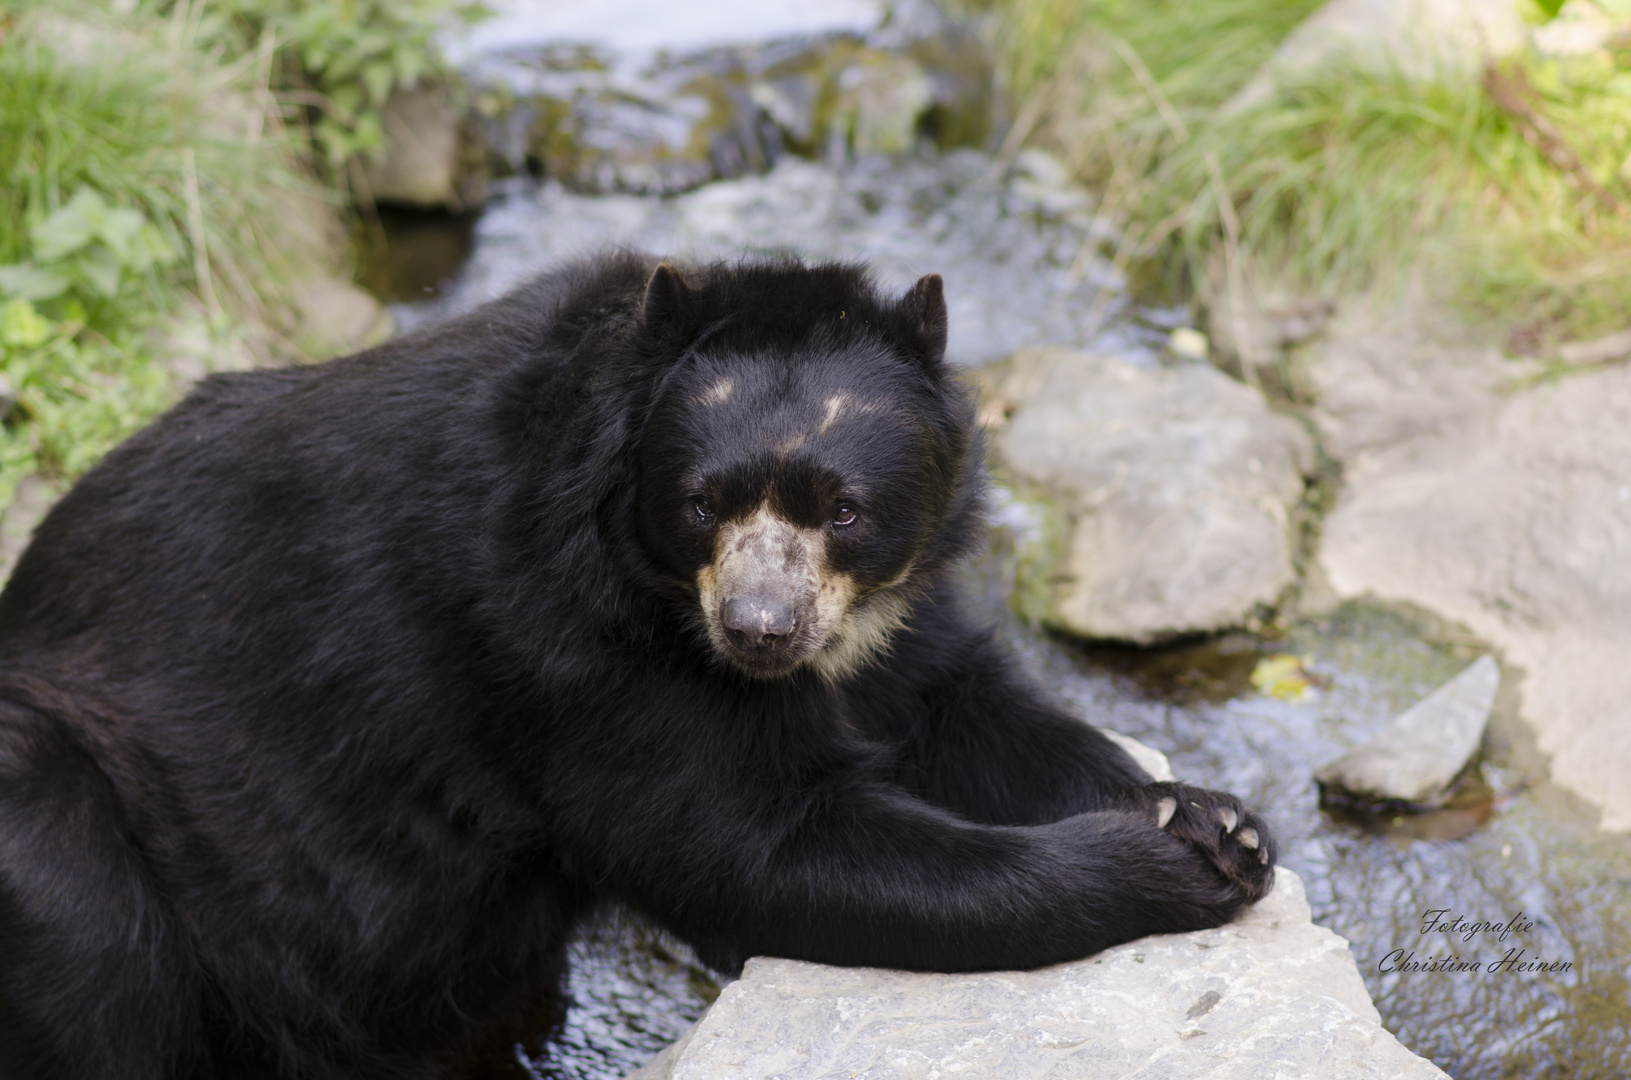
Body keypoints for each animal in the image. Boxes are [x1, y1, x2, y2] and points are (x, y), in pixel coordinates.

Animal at [0, 256, 1272, 1080]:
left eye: (845, 510)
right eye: (702, 502)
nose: (759, 628)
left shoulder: (884, 618)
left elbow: (964, 708)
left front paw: (1214, 822)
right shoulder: (560, 641)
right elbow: (748, 844)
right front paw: (1160, 869)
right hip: (98, 837)